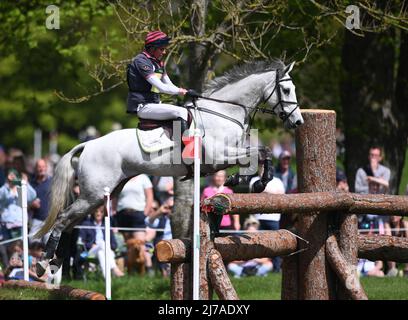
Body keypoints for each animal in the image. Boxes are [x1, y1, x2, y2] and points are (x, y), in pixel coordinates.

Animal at [34, 59, 302, 276]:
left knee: (70, 224)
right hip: (94, 193)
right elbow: (259, 154)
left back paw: (55, 262)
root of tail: (88, 144)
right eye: (287, 89)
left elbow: (262, 152)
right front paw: (250, 182)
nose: (298, 122)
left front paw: (248, 182)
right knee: (63, 219)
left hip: (100, 196)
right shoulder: (219, 156)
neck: (224, 112)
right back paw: (43, 263)